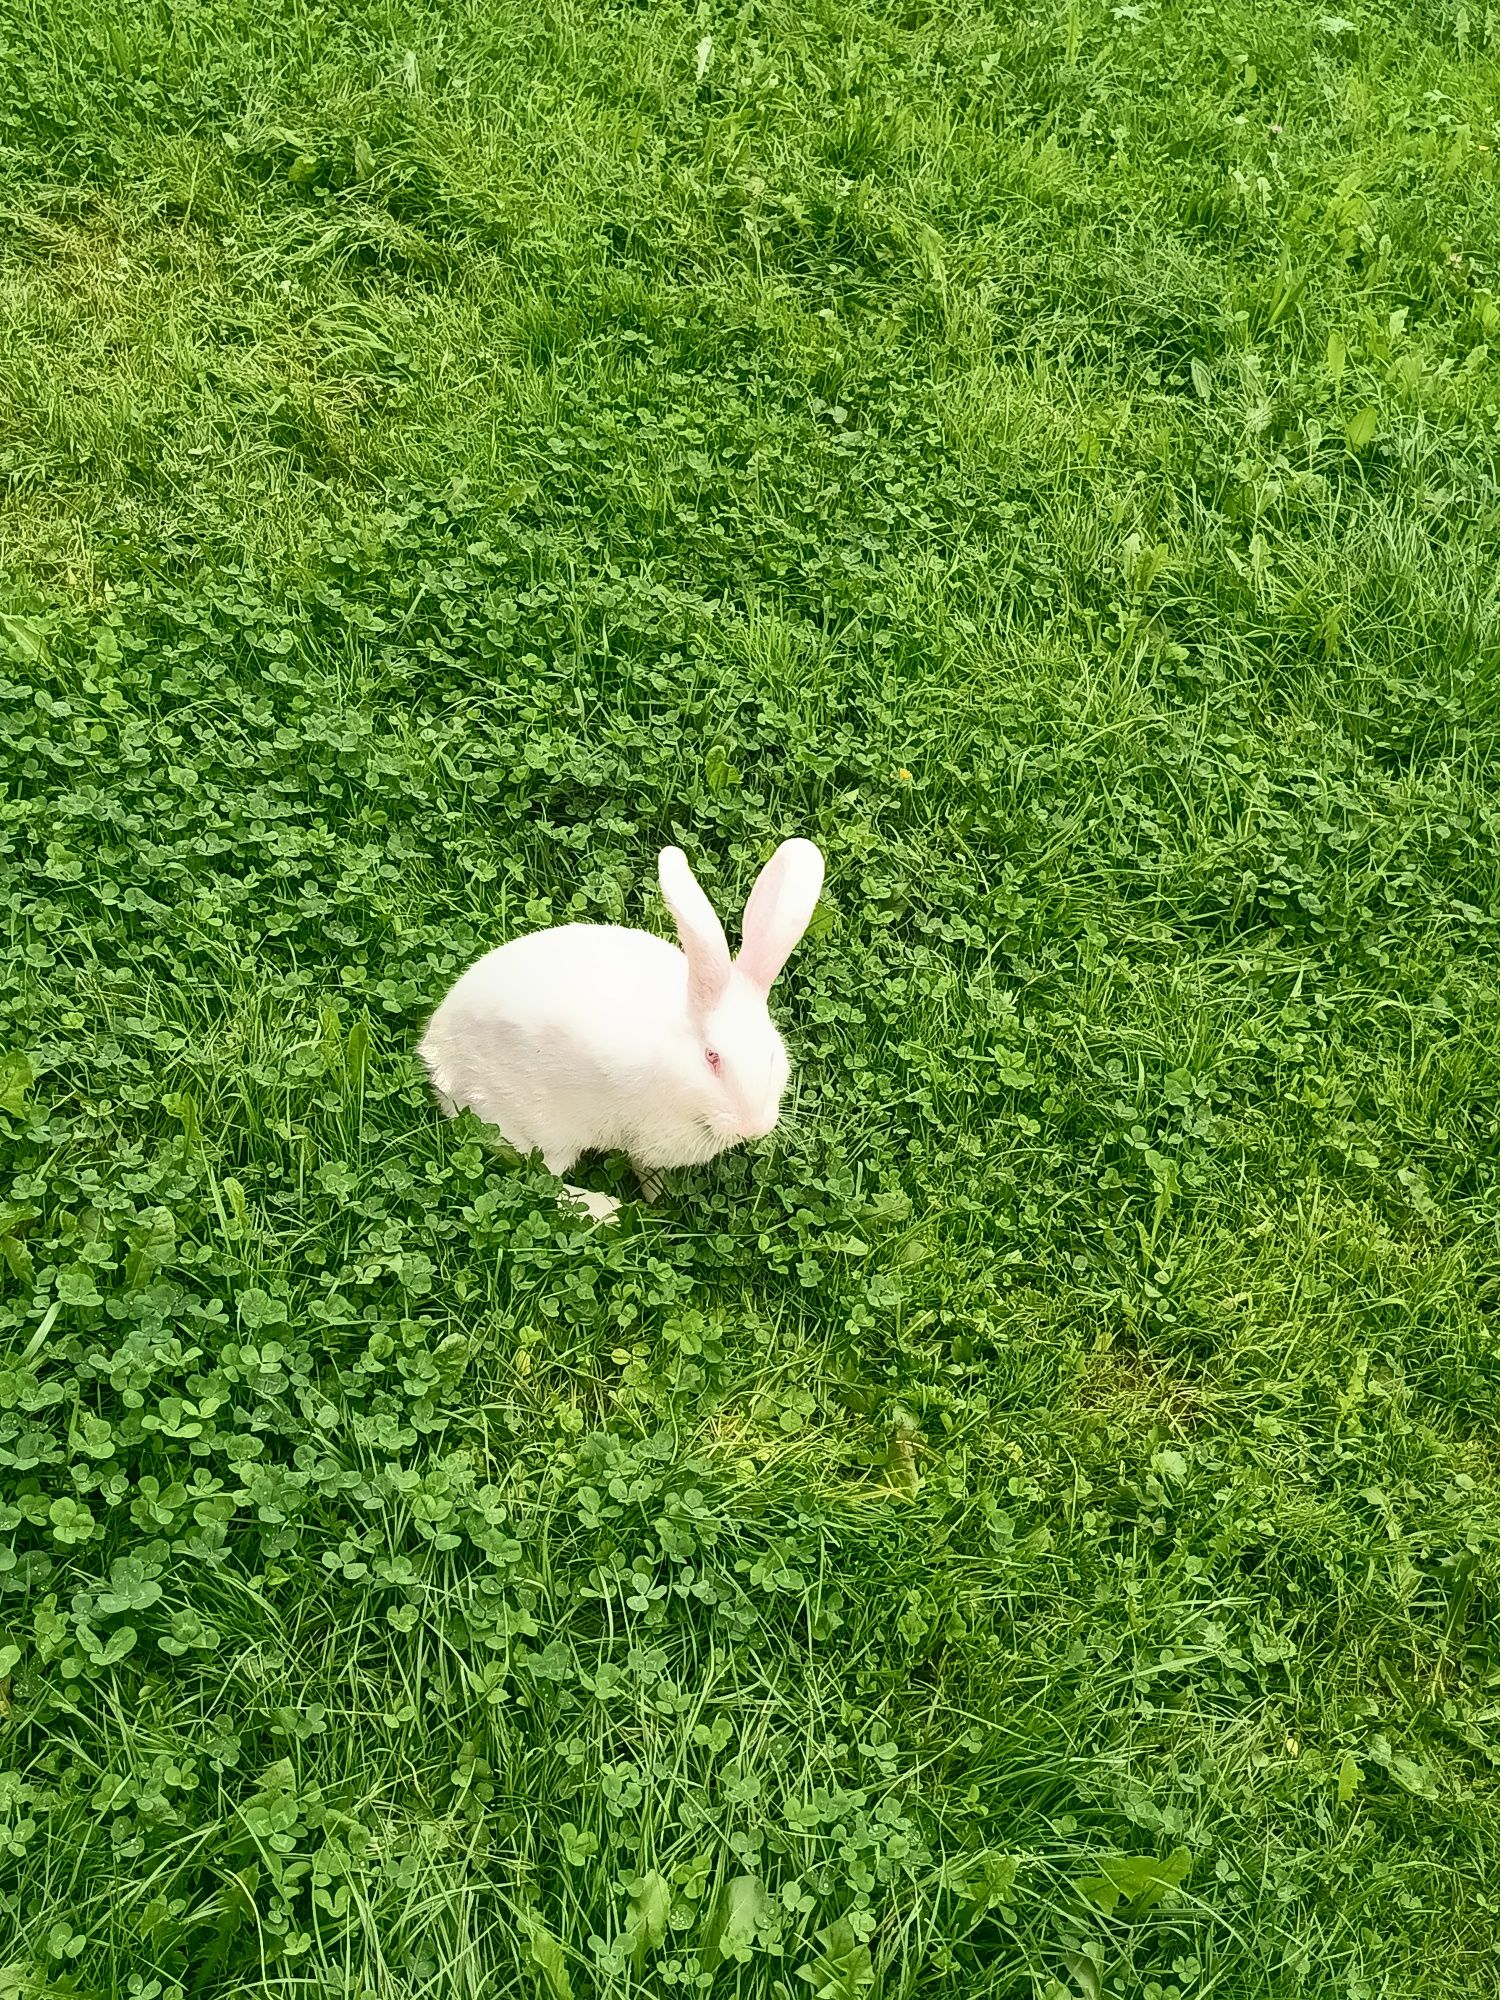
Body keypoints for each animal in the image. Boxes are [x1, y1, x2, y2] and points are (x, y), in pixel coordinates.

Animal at [418, 832, 828, 1216]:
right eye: (712, 1057)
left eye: (772, 1054)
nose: (754, 1126)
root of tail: (437, 1059)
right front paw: (656, 1204)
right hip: (538, 1127)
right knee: (545, 1183)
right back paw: (607, 1210)